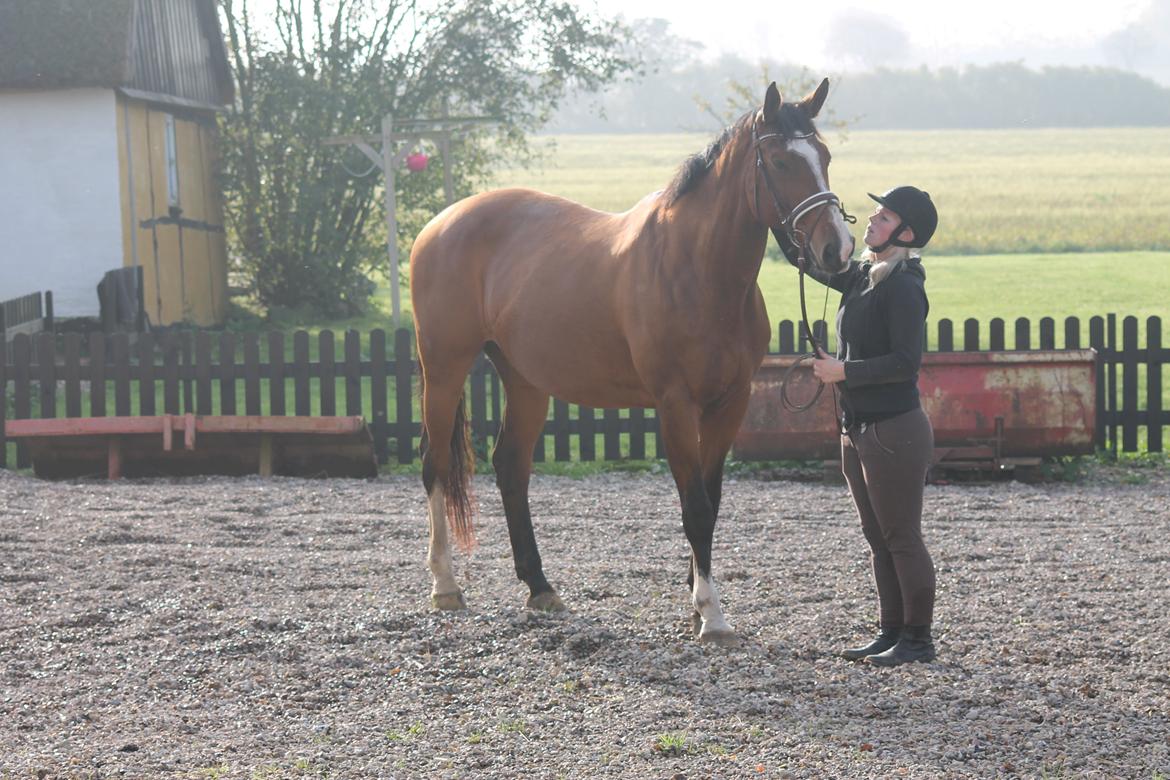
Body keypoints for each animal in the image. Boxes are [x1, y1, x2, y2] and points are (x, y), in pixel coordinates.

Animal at [407, 79, 856, 645]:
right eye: (779, 161)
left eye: (825, 156)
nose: (838, 249)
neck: (697, 269)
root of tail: (439, 224)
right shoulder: (675, 405)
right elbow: (695, 506)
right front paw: (710, 613)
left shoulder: (731, 403)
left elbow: (711, 500)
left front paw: (696, 598)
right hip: (445, 367)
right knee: (436, 464)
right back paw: (445, 586)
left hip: (525, 380)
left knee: (511, 465)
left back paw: (540, 587)